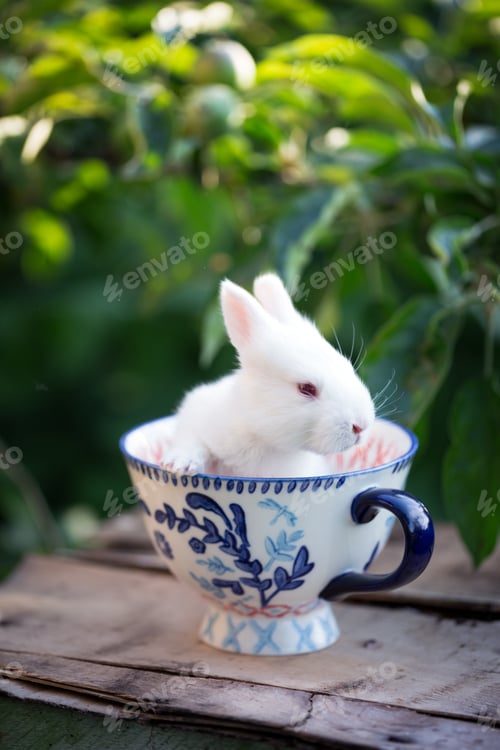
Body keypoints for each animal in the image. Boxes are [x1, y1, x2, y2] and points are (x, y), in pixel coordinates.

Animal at [164, 273, 375, 478]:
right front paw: (179, 465)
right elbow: (192, 442)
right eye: (306, 388)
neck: (261, 438)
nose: (361, 426)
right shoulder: (194, 414)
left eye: (347, 366)